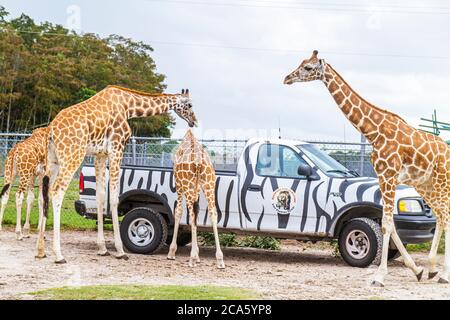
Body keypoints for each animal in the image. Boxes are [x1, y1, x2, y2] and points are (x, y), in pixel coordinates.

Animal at [37, 86, 200, 264]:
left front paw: (102, 249)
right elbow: (114, 197)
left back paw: (40, 250)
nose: (194, 121)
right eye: (190, 105)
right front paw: (120, 251)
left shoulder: (100, 154)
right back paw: (58, 255)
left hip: (53, 161)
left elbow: (101, 197)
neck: (128, 106)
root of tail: (51, 130)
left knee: (44, 194)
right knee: (57, 191)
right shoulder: (117, 148)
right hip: (72, 155)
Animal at [167, 129, 225, 268]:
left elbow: (178, 211)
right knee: (212, 212)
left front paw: (172, 252)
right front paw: (198, 255)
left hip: (187, 184)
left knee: (191, 213)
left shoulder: (178, 184)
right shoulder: (197, 188)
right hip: (210, 183)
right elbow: (197, 213)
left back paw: (192, 258)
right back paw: (220, 259)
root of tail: (198, 161)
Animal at [284, 50, 450, 288]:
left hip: (440, 181)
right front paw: (417, 270)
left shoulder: (389, 176)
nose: (287, 78)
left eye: (308, 67)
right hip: (425, 185)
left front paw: (379, 277)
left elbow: (387, 225)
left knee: (446, 216)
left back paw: (443, 273)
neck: (374, 132)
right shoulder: (383, 177)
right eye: (302, 62)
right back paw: (433, 270)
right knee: (441, 216)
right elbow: (390, 225)